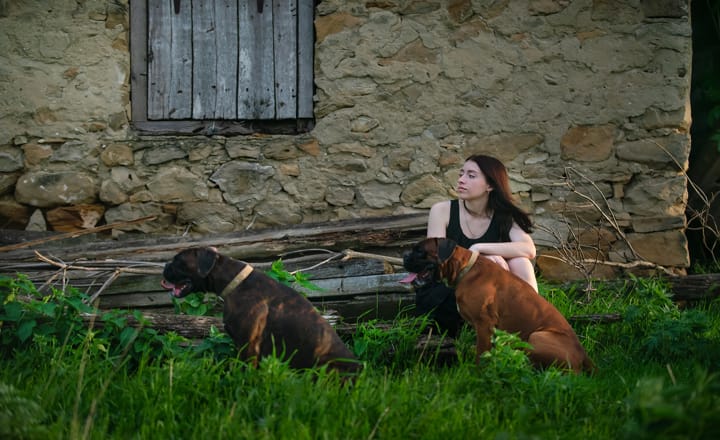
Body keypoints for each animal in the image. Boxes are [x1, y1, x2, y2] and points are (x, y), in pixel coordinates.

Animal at [404, 239, 596, 372]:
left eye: (420, 251)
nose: (404, 256)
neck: (465, 269)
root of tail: (584, 354)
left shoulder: (484, 324)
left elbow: (481, 352)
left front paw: (478, 373)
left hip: (537, 336)